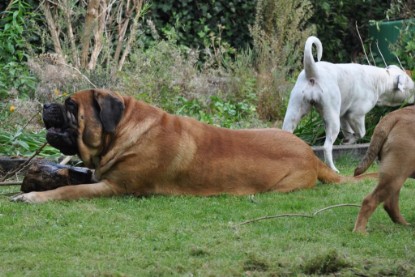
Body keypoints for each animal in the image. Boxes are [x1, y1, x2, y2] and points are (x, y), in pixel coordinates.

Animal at [13, 89, 368, 203]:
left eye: (70, 106)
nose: (46, 105)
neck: (124, 128)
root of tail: (310, 153)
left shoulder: (115, 187)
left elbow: (67, 190)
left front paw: (32, 196)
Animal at [282, 35, 415, 171]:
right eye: (412, 89)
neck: (382, 79)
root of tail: (313, 72)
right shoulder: (355, 116)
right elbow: (361, 132)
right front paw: (352, 139)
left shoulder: (344, 116)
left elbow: (348, 130)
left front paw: (348, 139)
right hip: (332, 119)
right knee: (327, 146)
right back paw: (333, 169)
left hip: (293, 114)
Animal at [352, 104, 415, 232]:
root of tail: (395, 115)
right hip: (396, 175)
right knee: (370, 201)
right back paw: (360, 231)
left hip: (395, 175)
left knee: (390, 204)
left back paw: (404, 225)